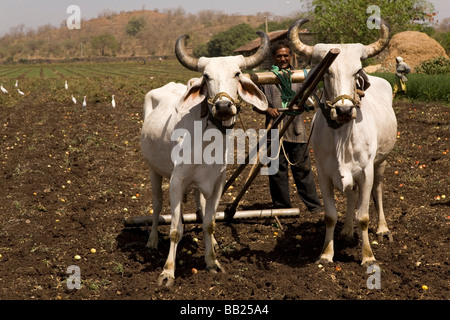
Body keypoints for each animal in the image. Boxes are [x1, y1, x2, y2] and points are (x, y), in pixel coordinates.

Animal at [141, 30, 268, 284]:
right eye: (206, 76)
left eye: (237, 74)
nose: (223, 106)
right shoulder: (177, 181)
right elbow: (175, 229)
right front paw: (167, 272)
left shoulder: (217, 182)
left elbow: (209, 222)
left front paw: (212, 262)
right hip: (154, 171)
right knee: (157, 205)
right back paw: (152, 240)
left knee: (199, 205)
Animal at [288, 18, 398, 266]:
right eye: (327, 72)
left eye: (356, 71)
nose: (345, 110)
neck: (342, 136)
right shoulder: (324, 173)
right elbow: (330, 215)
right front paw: (327, 253)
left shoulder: (366, 171)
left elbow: (363, 216)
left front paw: (368, 257)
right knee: (350, 195)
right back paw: (347, 231)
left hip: (381, 163)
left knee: (378, 191)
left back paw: (383, 229)